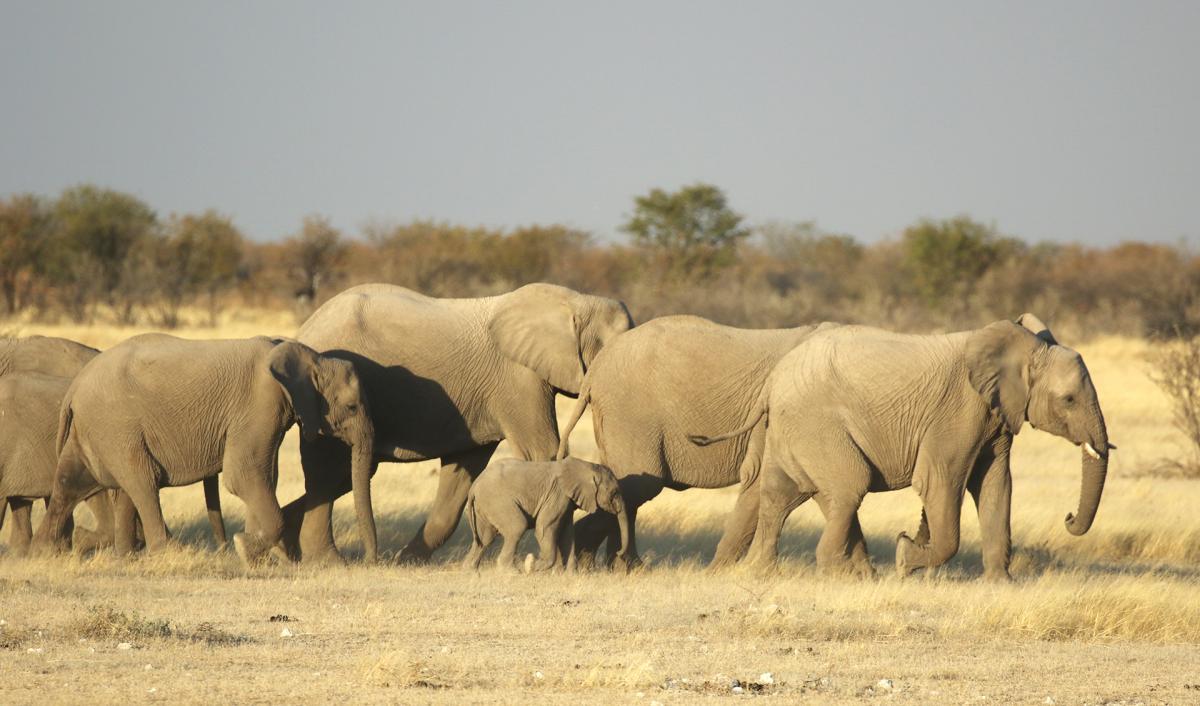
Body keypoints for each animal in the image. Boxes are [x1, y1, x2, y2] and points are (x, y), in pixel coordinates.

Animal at [280, 280, 638, 561]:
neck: (575, 300)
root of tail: (307, 325)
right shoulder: (517, 379)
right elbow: (542, 453)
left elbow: (461, 476)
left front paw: (406, 563)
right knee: (327, 474)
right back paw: (325, 561)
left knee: (348, 475)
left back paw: (273, 548)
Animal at [460, 458, 633, 573]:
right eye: (614, 493)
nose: (619, 553)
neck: (587, 466)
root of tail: (474, 486)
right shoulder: (557, 494)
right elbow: (545, 528)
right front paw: (530, 565)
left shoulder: (567, 500)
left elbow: (567, 534)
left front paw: (571, 575)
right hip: (497, 501)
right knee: (516, 527)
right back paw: (511, 572)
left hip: (484, 506)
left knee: (485, 538)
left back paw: (471, 572)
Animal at [556, 316, 840, 571]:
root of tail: (595, 369)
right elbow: (758, 477)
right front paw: (718, 574)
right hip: (630, 414)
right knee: (637, 487)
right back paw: (606, 565)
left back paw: (614, 567)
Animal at [691, 314, 1108, 578]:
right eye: (1069, 399)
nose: (1069, 517)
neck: (1022, 347)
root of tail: (773, 380)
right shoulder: (957, 412)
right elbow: (940, 483)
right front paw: (906, 557)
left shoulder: (997, 415)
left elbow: (996, 485)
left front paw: (1000, 585)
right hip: (816, 424)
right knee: (848, 484)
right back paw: (835, 573)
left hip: (790, 429)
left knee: (779, 492)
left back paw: (761, 573)